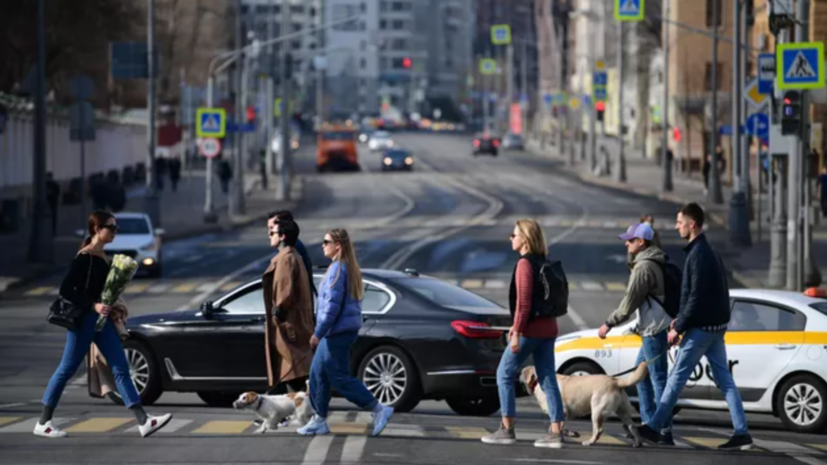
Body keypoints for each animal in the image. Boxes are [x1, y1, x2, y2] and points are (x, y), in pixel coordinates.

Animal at [520, 362, 652, 446]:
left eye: (520, 373)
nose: (516, 375)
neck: (538, 381)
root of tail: (616, 381)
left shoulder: (562, 411)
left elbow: (554, 427)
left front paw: (556, 436)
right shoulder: (564, 415)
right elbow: (559, 427)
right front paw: (567, 434)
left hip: (597, 411)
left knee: (598, 430)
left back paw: (590, 442)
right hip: (623, 412)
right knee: (632, 426)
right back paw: (638, 442)